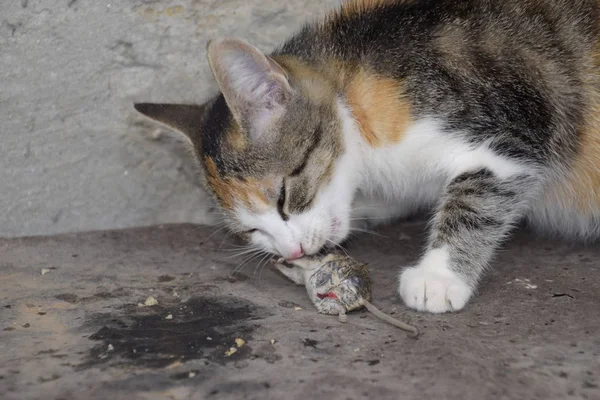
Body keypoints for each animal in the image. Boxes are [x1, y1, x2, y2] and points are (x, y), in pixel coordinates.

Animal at [135, 0, 600, 312]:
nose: (293, 253)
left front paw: (438, 276)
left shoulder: (513, 127)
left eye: (284, 195)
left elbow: (478, 198)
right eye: (249, 231)